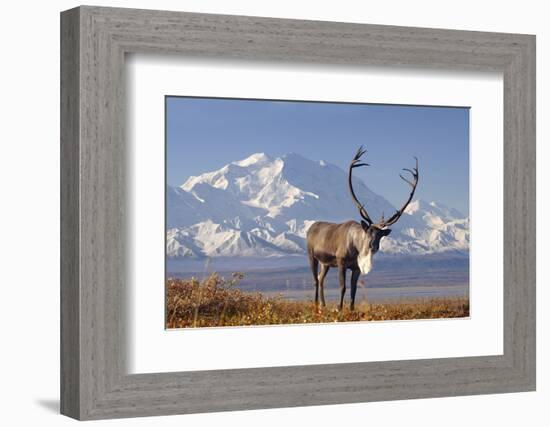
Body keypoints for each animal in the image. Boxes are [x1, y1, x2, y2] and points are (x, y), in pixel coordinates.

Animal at [308, 147, 420, 310]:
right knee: (315, 280)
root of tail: (311, 227)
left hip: (325, 263)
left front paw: (351, 309)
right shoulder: (341, 262)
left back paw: (323, 305)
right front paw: (339, 308)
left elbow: (353, 290)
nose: (373, 246)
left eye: (381, 235)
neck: (357, 249)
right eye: (368, 232)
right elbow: (343, 287)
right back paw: (317, 305)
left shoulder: (355, 268)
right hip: (311, 256)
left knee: (320, 278)